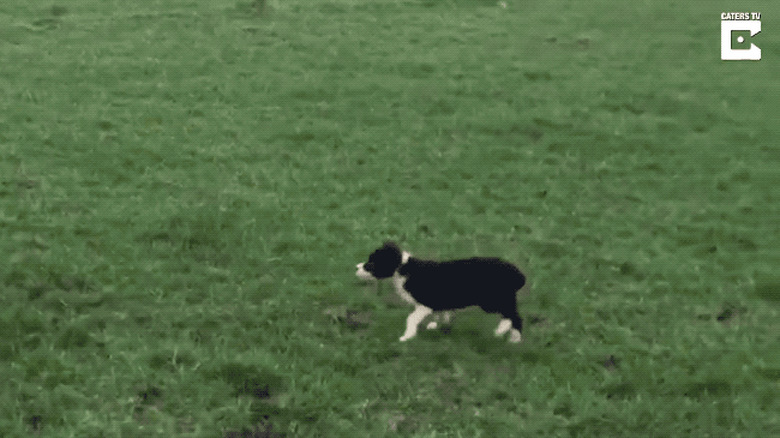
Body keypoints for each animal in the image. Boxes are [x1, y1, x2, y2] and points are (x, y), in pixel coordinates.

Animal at [358, 243, 528, 342]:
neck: (403, 268)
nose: (357, 267)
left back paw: (508, 335)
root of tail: (518, 274)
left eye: (371, 263)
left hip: (494, 300)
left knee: (514, 317)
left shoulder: (424, 304)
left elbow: (411, 318)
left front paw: (407, 336)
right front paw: (437, 327)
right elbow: (441, 315)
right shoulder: (437, 304)